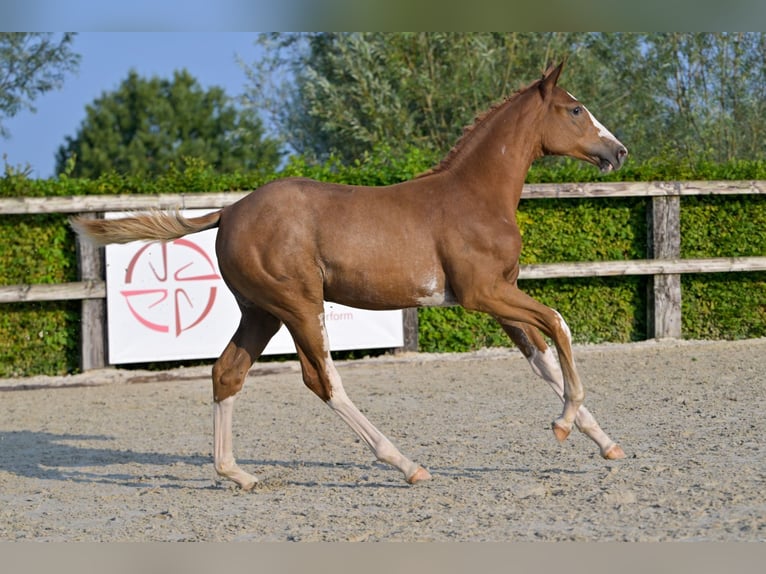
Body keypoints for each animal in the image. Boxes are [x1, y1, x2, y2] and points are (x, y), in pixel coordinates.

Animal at [70, 64, 632, 490]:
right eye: (575, 109)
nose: (619, 151)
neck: (474, 196)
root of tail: (228, 211)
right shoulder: (484, 294)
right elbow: (559, 324)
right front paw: (563, 423)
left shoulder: (501, 296)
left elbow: (542, 361)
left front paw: (605, 443)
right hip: (299, 306)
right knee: (322, 379)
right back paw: (406, 464)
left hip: (261, 313)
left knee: (227, 372)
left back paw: (238, 474)